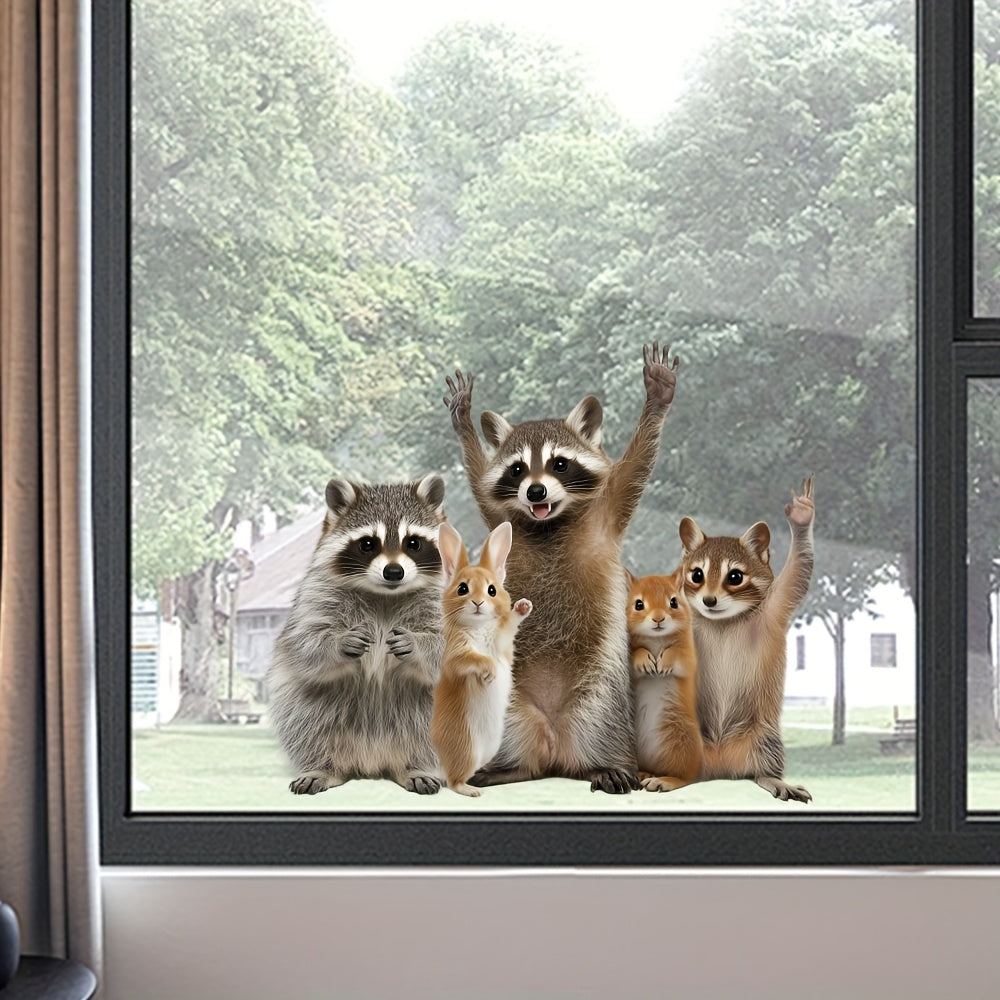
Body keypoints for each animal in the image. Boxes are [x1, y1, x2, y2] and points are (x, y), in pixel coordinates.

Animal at [267, 474, 447, 795]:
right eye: (367, 544)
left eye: (413, 542)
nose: (393, 572)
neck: (385, 594)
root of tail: (372, 763)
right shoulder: (316, 597)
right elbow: (306, 644)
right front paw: (338, 643)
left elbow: (451, 648)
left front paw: (417, 644)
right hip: (308, 709)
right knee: (307, 724)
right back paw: (323, 766)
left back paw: (416, 765)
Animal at [443, 343, 679, 793]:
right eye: (518, 469)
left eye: (559, 464)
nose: (535, 491)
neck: (548, 522)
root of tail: (554, 745)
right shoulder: (500, 515)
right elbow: (481, 482)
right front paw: (463, 423)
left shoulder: (608, 510)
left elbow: (636, 465)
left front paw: (657, 400)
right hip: (508, 696)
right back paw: (507, 767)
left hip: (600, 688)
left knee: (602, 722)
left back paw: (606, 765)